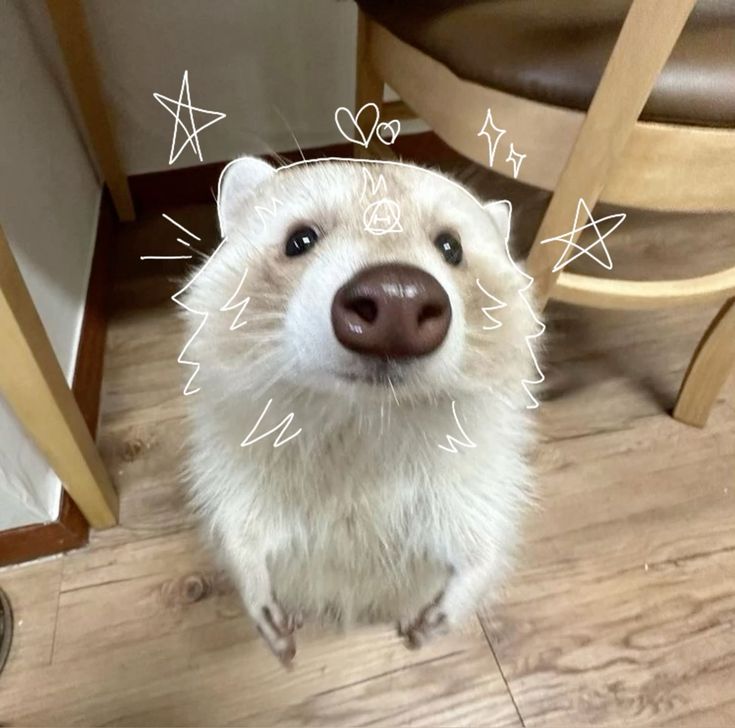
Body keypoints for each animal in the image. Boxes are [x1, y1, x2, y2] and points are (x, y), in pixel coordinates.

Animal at [180, 155, 542, 665]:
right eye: (300, 239)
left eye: (451, 247)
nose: (397, 299)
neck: (364, 416)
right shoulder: (237, 458)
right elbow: (239, 523)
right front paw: (252, 579)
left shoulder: (476, 475)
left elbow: (483, 538)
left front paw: (468, 584)